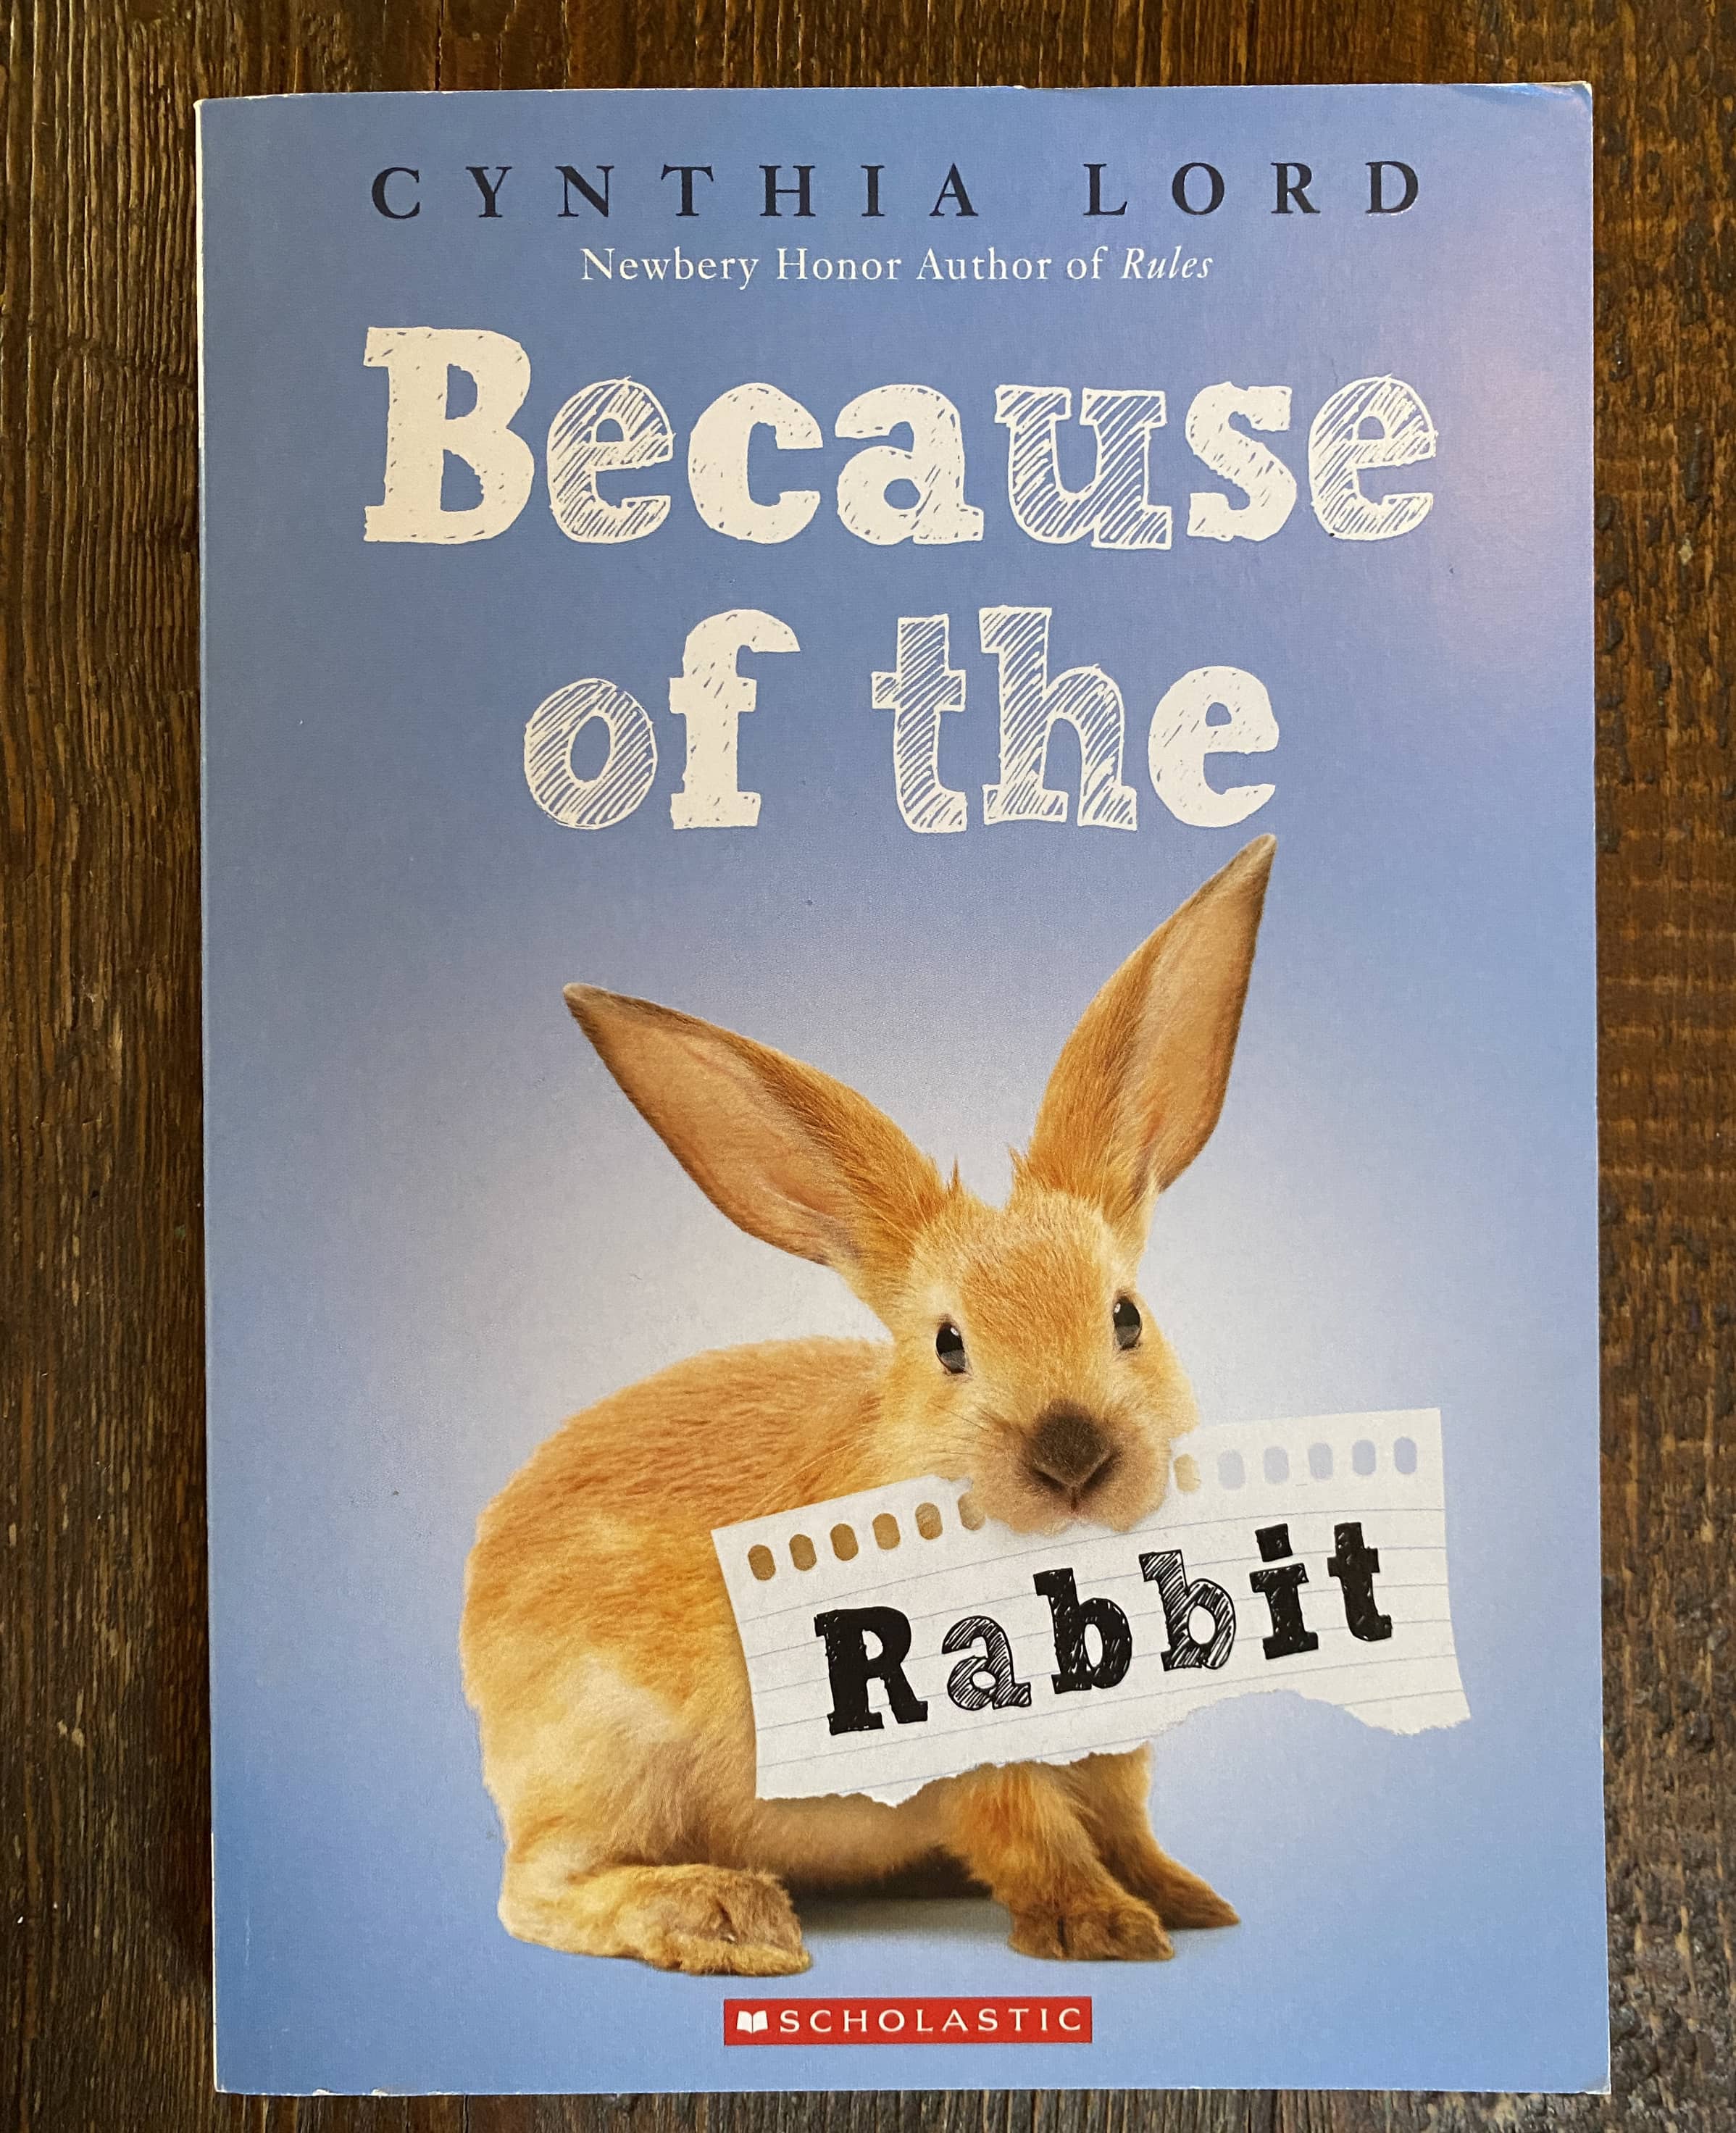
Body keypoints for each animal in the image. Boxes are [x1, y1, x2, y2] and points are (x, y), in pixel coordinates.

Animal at [462, 832, 1274, 1975]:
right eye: (948, 1345)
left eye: (1126, 1317)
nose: (1071, 1453)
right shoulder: (972, 1755)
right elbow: (1030, 1835)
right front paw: (1102, 1928)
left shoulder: (1112, 1754)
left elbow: (1124, 1824)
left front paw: (1186, 1900)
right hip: (607, 1761)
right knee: (536, 1890)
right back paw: (724, 1918)